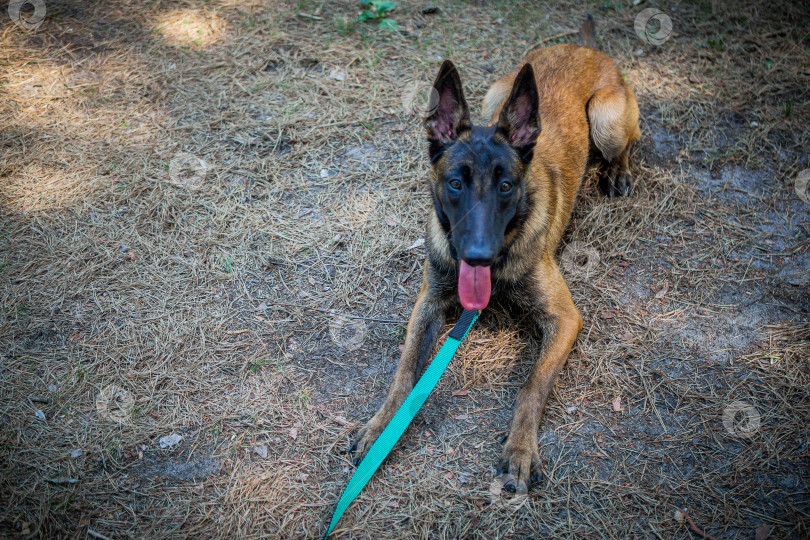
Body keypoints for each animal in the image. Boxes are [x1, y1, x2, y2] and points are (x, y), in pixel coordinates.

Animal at [348, 14, 636, 496]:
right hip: (495, 96)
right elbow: (404, 373)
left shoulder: (564, 319)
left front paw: (519, 449)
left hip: (607, 119)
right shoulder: (428, 304)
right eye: (455, 183)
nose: (479, 257)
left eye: (505, 186)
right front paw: (381, 426)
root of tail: (583, 48)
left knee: (624, 147)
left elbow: (531, 387)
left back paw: (618, 173)